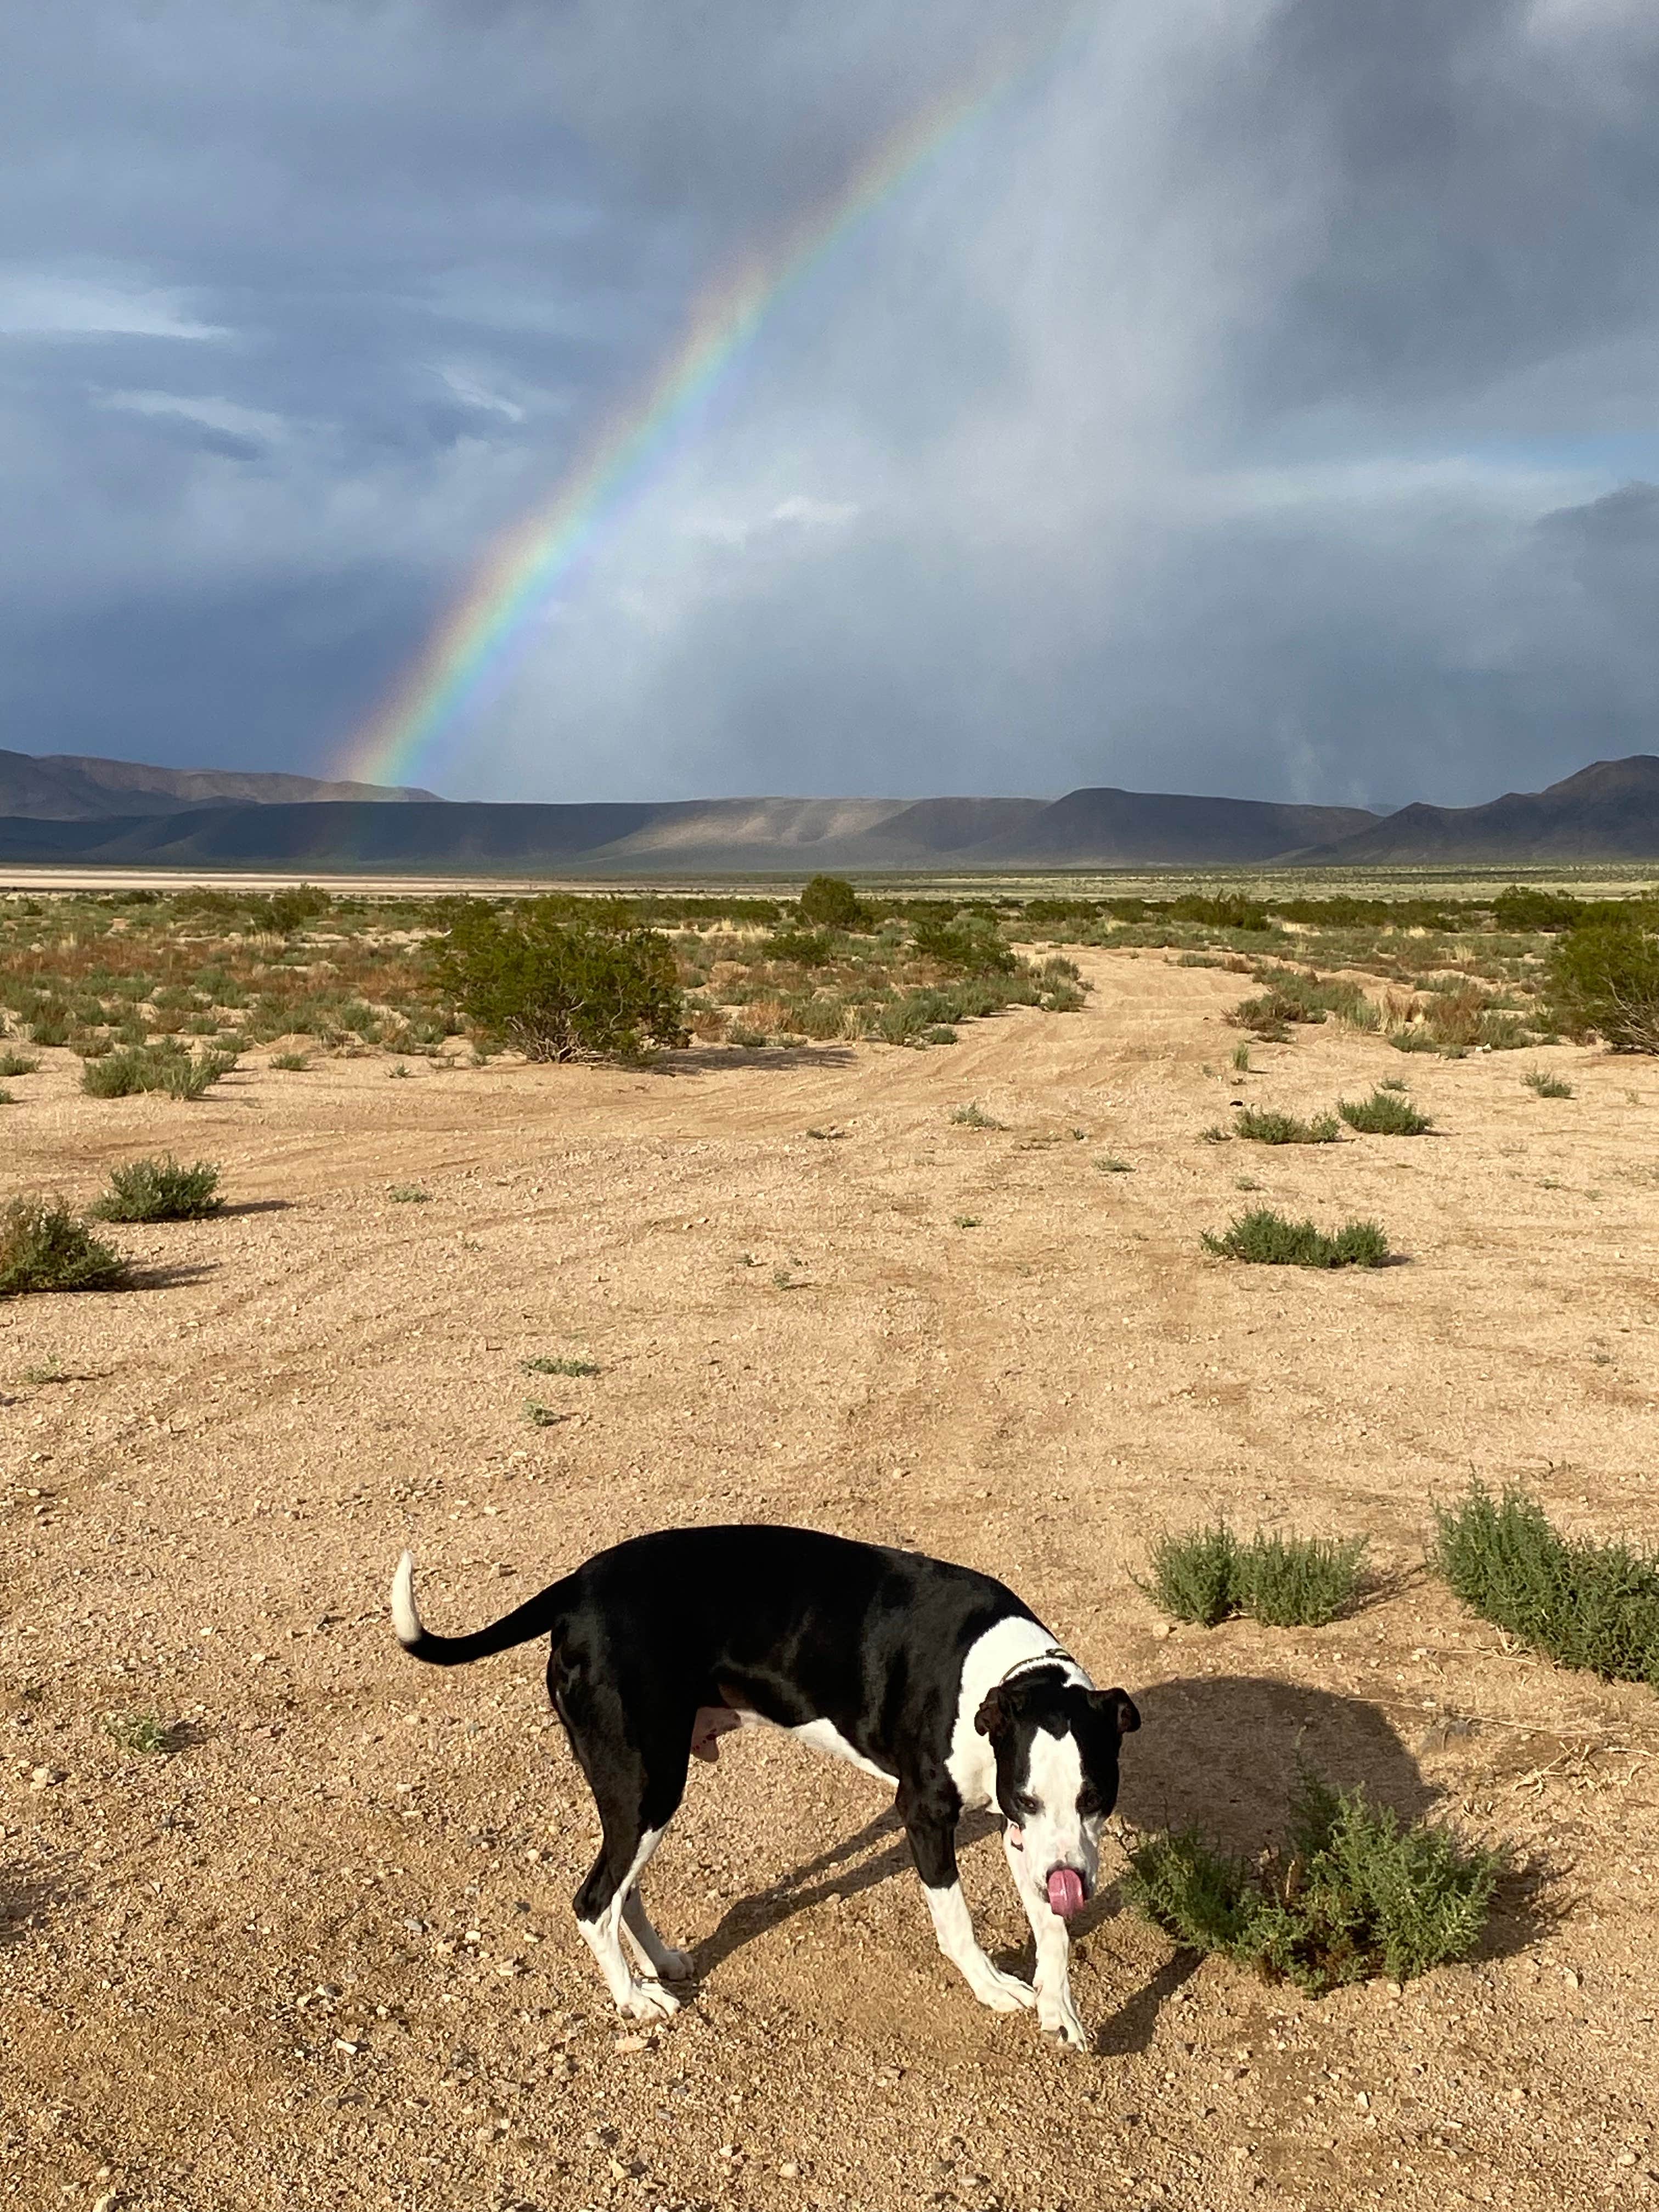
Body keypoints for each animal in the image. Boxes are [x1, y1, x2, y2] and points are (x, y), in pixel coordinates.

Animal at [389, 1531, 1141, 2044]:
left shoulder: (1029, 1838)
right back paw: (633, 1998)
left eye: (1096, 1799)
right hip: (647, 1785)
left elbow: (1051, 1926)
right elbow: (957, 1924)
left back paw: (660, 1962)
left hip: (647, 1790)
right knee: (594, 1900)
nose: (1075, 1881)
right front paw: (993, 1988)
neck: (1007, 1674)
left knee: (623, 1888)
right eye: (1031, 1798)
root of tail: (577, 1586)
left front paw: (1060, 2007)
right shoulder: (930, 1815)